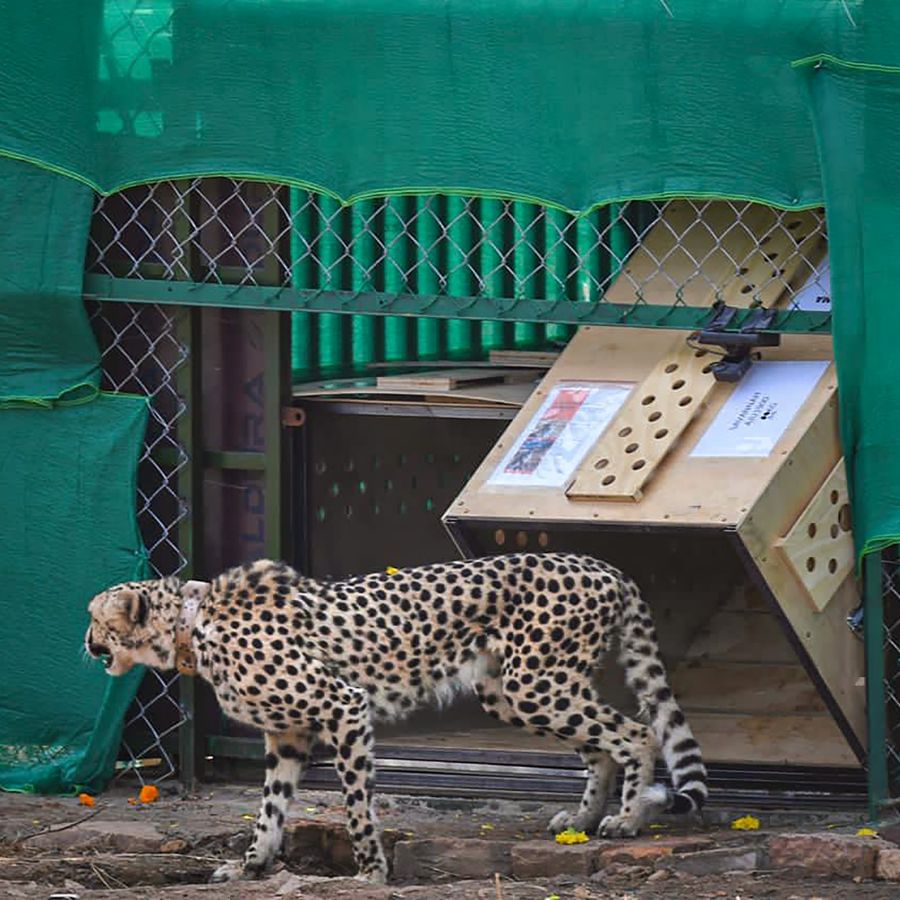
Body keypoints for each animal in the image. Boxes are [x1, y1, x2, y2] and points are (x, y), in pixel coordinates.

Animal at [88, 552, 712, 884]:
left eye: (95, 619)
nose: (87, 645)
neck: (192, 628)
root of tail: (600, 564)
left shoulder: (343, 705)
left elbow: (357, 804)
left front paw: (370, 871)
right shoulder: (287, 734)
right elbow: (269, 809)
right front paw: (251, 865)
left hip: (536, 683)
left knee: (636, 733)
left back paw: (627, 819)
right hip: (514, 691)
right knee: (600, 746)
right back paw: (583, 819)